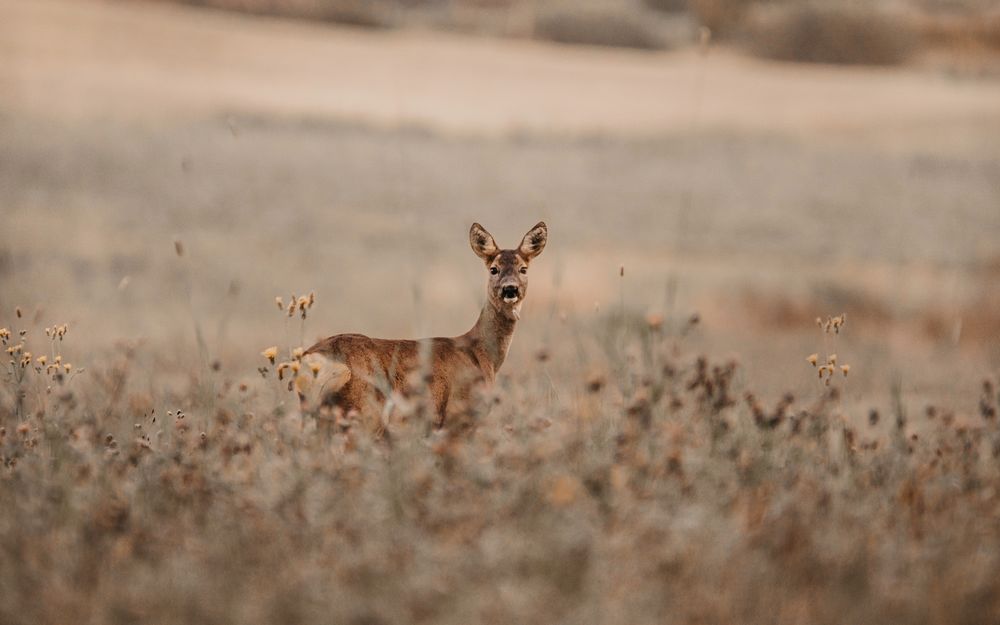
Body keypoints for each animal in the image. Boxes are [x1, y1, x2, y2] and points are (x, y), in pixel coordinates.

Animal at [299, 221, 548, 432]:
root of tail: (313, 360)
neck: (482, 354)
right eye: (494, 269)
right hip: (361, 413)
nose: (510, 289)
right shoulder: (457, 416)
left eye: (523, 269)